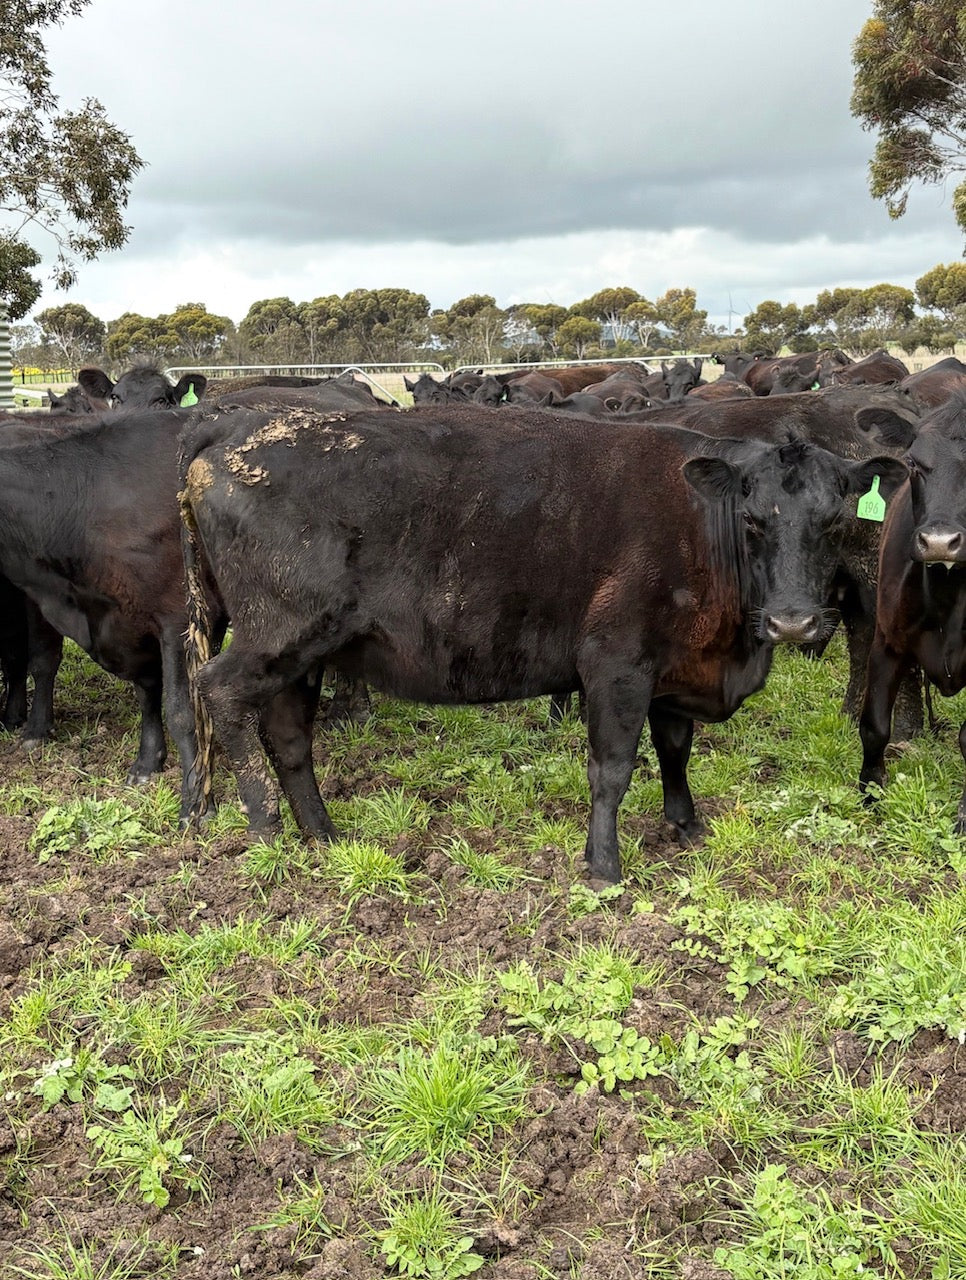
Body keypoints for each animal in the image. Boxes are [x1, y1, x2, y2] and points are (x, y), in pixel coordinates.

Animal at [180, 403, 904, 883]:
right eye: (752, 521)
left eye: (835, 520)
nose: (793, 623)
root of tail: (238, 425)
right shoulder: (616, 662)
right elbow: (612, 768)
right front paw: (604, 866)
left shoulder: (672, 667)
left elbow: (675, 750)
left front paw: (686, 825)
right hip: (279, 631)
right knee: (220, 691)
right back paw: (266, 828)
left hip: (304, 653)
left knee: (288, 737)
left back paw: (323, 835)